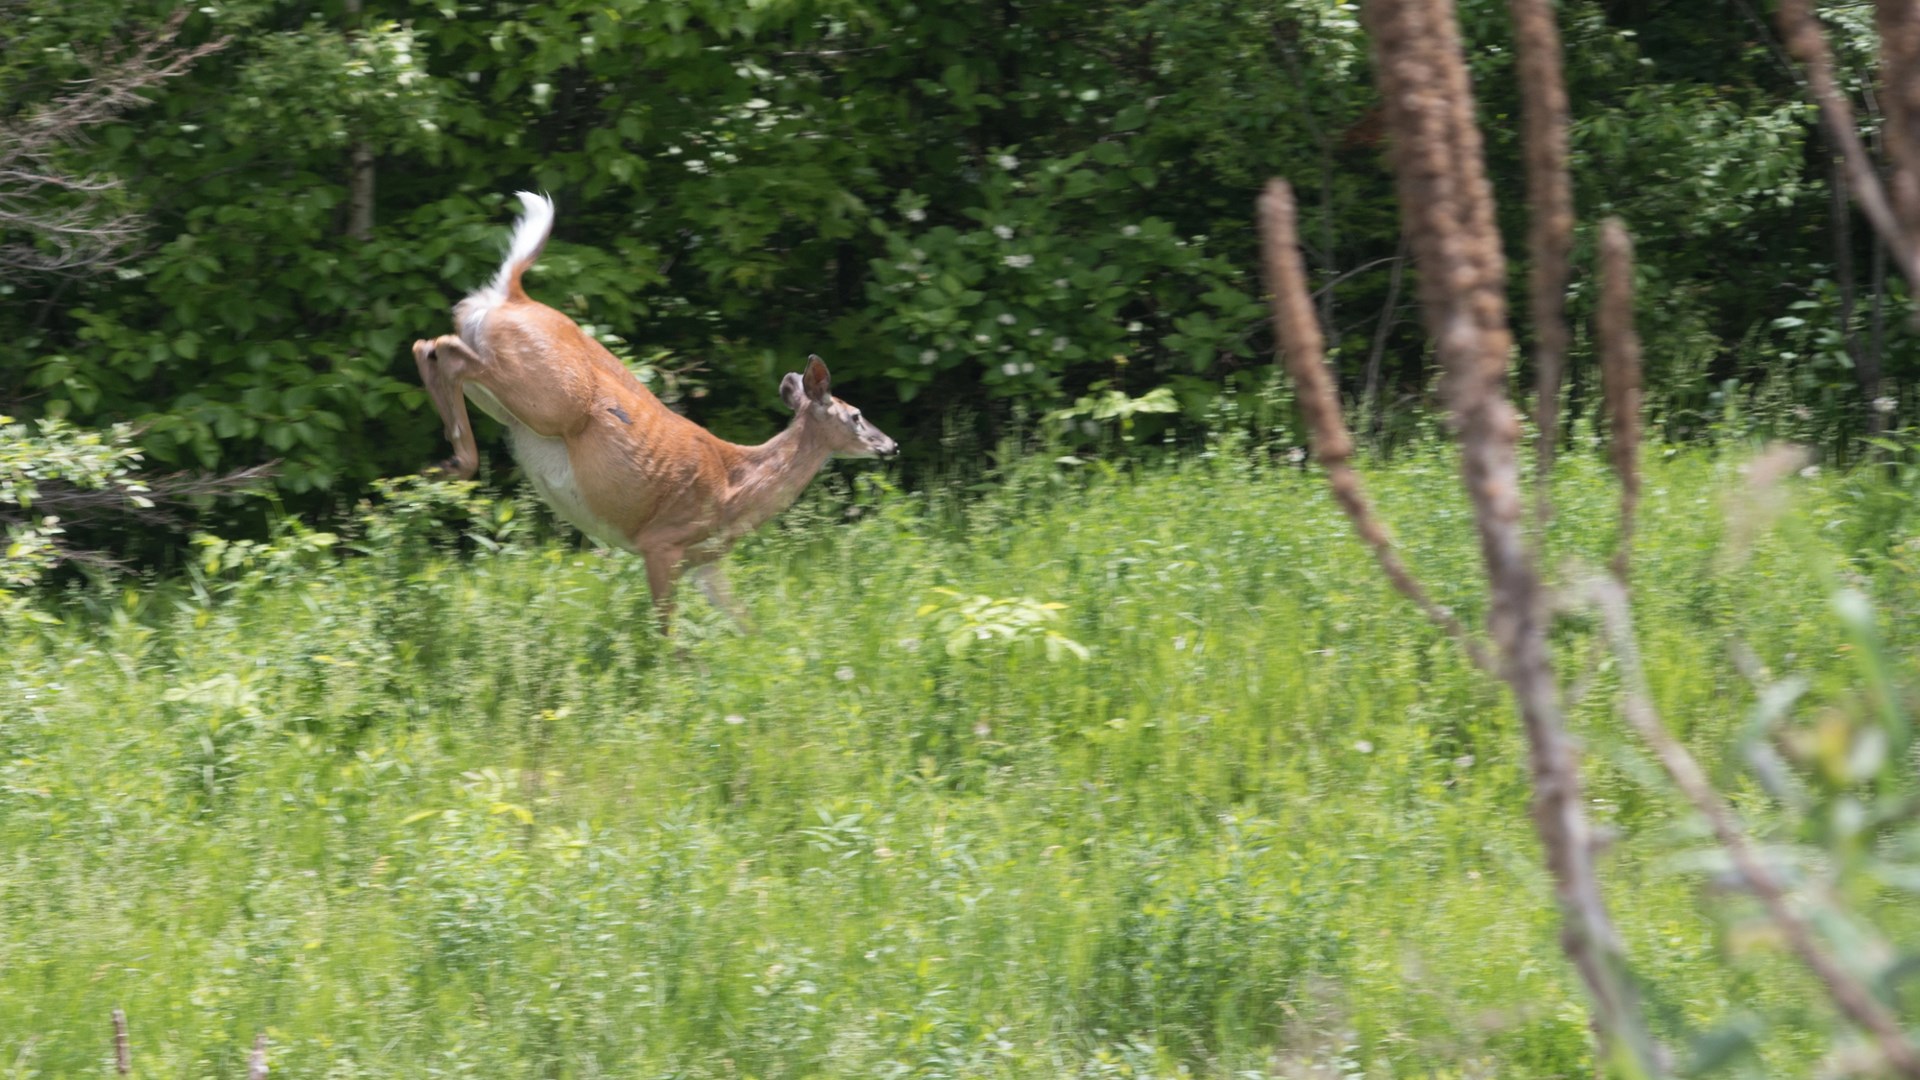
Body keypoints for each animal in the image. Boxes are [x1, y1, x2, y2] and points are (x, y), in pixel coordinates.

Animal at [412, 191, 898, 634]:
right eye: (856, 415)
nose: (891, 444)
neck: (735, 489)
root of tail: (514, 295)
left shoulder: (704, 561)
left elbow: (746, 623)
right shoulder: (661, 542)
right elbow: (669, 635)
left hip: (506, 401)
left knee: (430, 346)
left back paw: (443, 466)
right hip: (548, 400)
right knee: (444, 351)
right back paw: (454, 461)